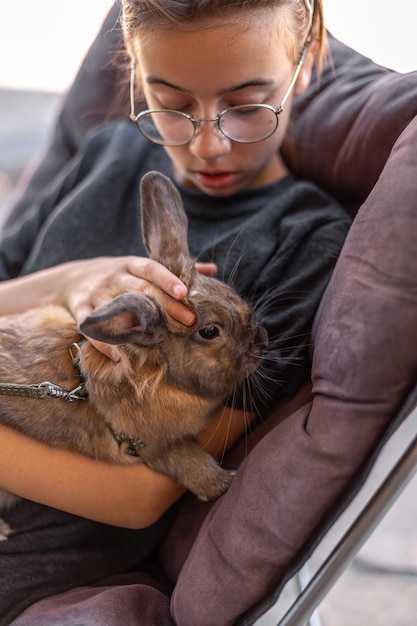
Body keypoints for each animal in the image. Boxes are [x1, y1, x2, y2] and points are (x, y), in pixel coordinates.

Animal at [0, 171, 266, 508]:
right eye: (209, 332)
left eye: (228, 292)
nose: (262, 340)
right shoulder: (151, 446)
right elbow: (188, 460)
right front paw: (222, 484)